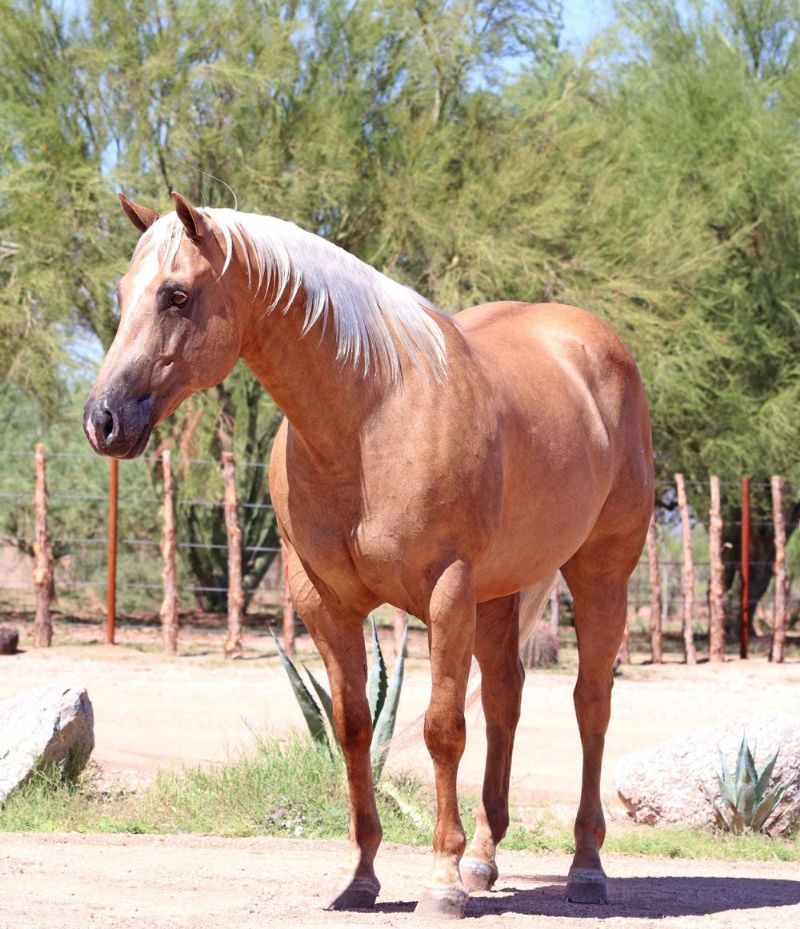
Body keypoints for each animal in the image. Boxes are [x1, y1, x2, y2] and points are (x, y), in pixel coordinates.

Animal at [84, 191, 653, 919]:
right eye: (123, 293)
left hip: (599, 571)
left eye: (176, 294)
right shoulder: (325, 602)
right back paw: (484, 859)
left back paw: (585, 868)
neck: (371, 416)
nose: (102, 420)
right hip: (500, 593)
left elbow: (443, 728)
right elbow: (353, 726)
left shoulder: (447, 590)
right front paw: (361, 877)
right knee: (505, 700)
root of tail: (593, 344)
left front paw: (439, 882)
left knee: (590, 705)